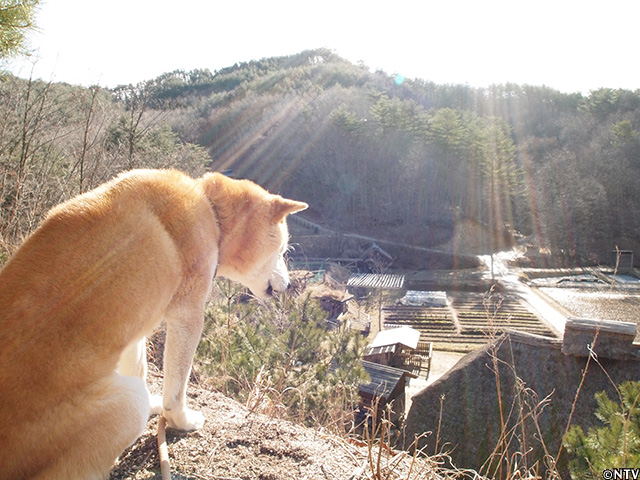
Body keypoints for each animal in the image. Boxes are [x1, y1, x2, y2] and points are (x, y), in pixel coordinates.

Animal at [0, 169, 307, 479]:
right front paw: (181, 420)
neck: (211, 211)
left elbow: (139, 369)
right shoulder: (188, 315)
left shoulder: (134, 329)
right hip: (127, 403)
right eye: (282, 249)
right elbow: (176, 390)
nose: (289, 285)